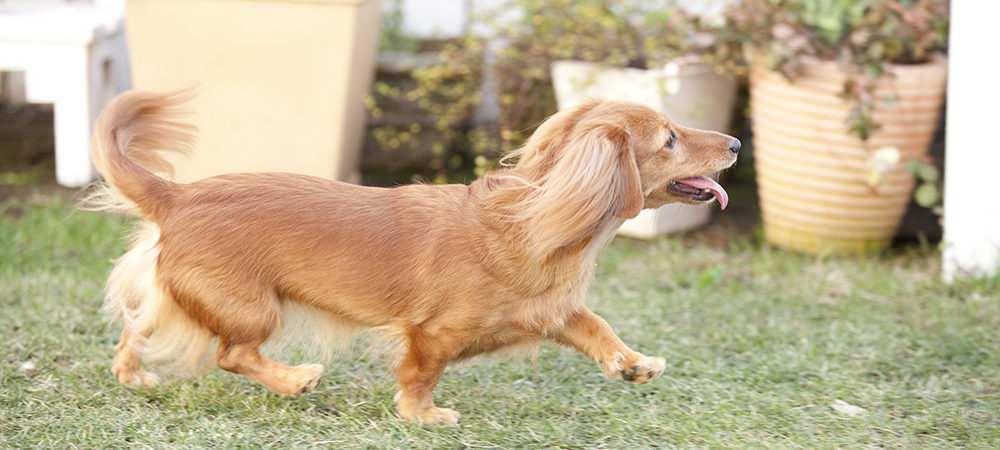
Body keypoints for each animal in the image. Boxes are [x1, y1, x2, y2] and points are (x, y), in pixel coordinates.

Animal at [90, 89, 740, 424]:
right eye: (670, 139)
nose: (736, 142)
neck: (531, 223)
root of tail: (178, 196)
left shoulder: (555, 312)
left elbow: (596, 326)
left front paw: (632, 364)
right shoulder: (434, 334)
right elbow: (423, 373)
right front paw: (421, 414)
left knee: (137, 326)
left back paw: (133, 374)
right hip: (254, 308)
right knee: (232, 353)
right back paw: (294, 379)